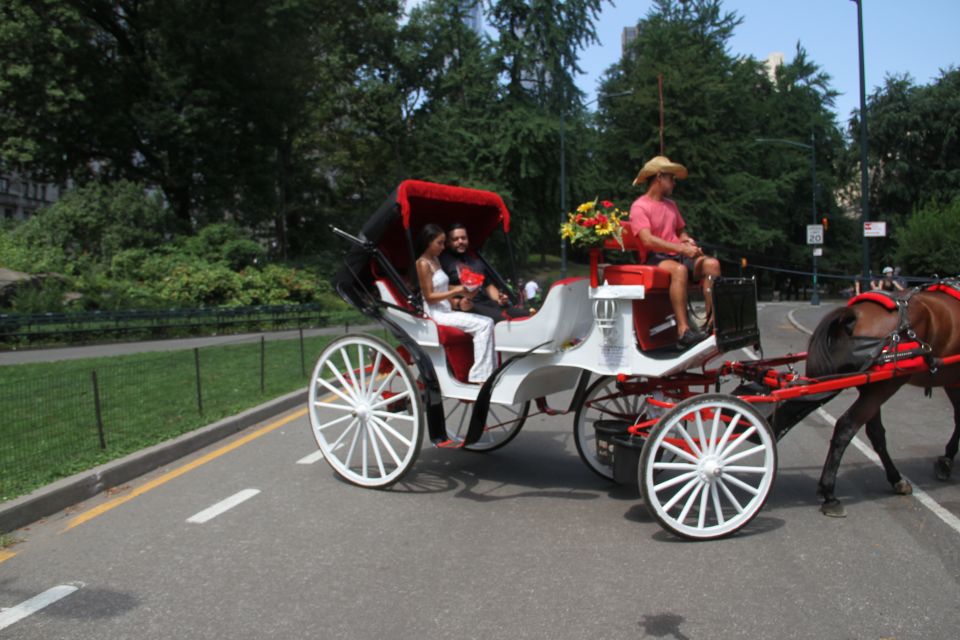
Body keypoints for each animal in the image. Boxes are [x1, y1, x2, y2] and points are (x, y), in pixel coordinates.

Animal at [808, 288, 960, 516]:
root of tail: (854, 313)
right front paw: (947, 459)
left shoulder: (952, 381)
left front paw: (947, 459)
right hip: (885, 386)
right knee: (846, 426)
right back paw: (829, 494)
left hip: (873, 387)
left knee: (875, 433)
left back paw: (896, 479)